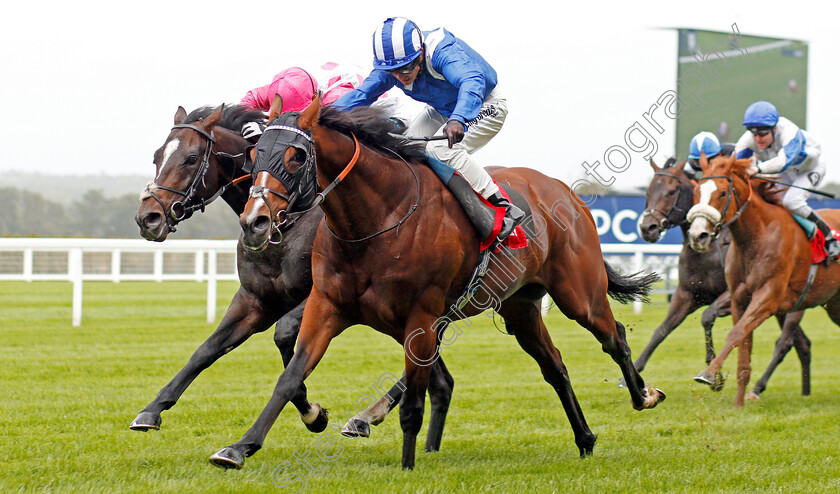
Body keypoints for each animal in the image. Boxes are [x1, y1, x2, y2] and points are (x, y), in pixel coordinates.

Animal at [213, 96, 668, 470]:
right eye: (256, 154)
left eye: (296, 156)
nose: (255, 221)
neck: (377, 218)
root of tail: (567, 194)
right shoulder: (328, 306)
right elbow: (290, 377)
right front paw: (239, 447)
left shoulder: (422, 315)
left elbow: (414, 400)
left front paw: (407, 465)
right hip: (520, 307)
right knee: (554, 366)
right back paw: (585, 438)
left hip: (579, 294)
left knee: (615, 337)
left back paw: (643, 395)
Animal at [640, 158, 812, 398]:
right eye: (648, 191)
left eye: (671, 191)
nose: (648, 228)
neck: (709, 249)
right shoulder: (685, 294)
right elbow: (661, 331)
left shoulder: (732, 295)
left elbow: (707, 316)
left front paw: (716, 377)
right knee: (802, 344)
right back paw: (804, 391)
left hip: (792, 306)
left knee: (785, 342)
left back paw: (758, 389)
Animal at [688, 153, 840, 406]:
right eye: (696, 191)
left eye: (722, 193)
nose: (697, 235)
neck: (758, 235)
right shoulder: (739, 299)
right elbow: (742, 345)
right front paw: (738, 404)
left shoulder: (768, 298)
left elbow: (736, 333)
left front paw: (709, 374)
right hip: (834, 304)